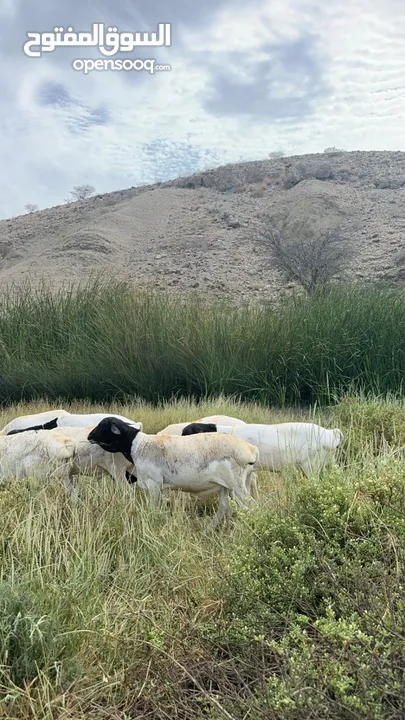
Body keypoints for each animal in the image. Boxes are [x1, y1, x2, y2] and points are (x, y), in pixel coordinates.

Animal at [87, 414, 258, 524]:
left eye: (102, 426)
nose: (89, 436)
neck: (139, 445)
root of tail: (250, 449)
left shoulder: (154, 484)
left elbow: (153, 509)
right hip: (226, 486)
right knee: (224, 508)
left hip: (236, 484)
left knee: (252, 507)